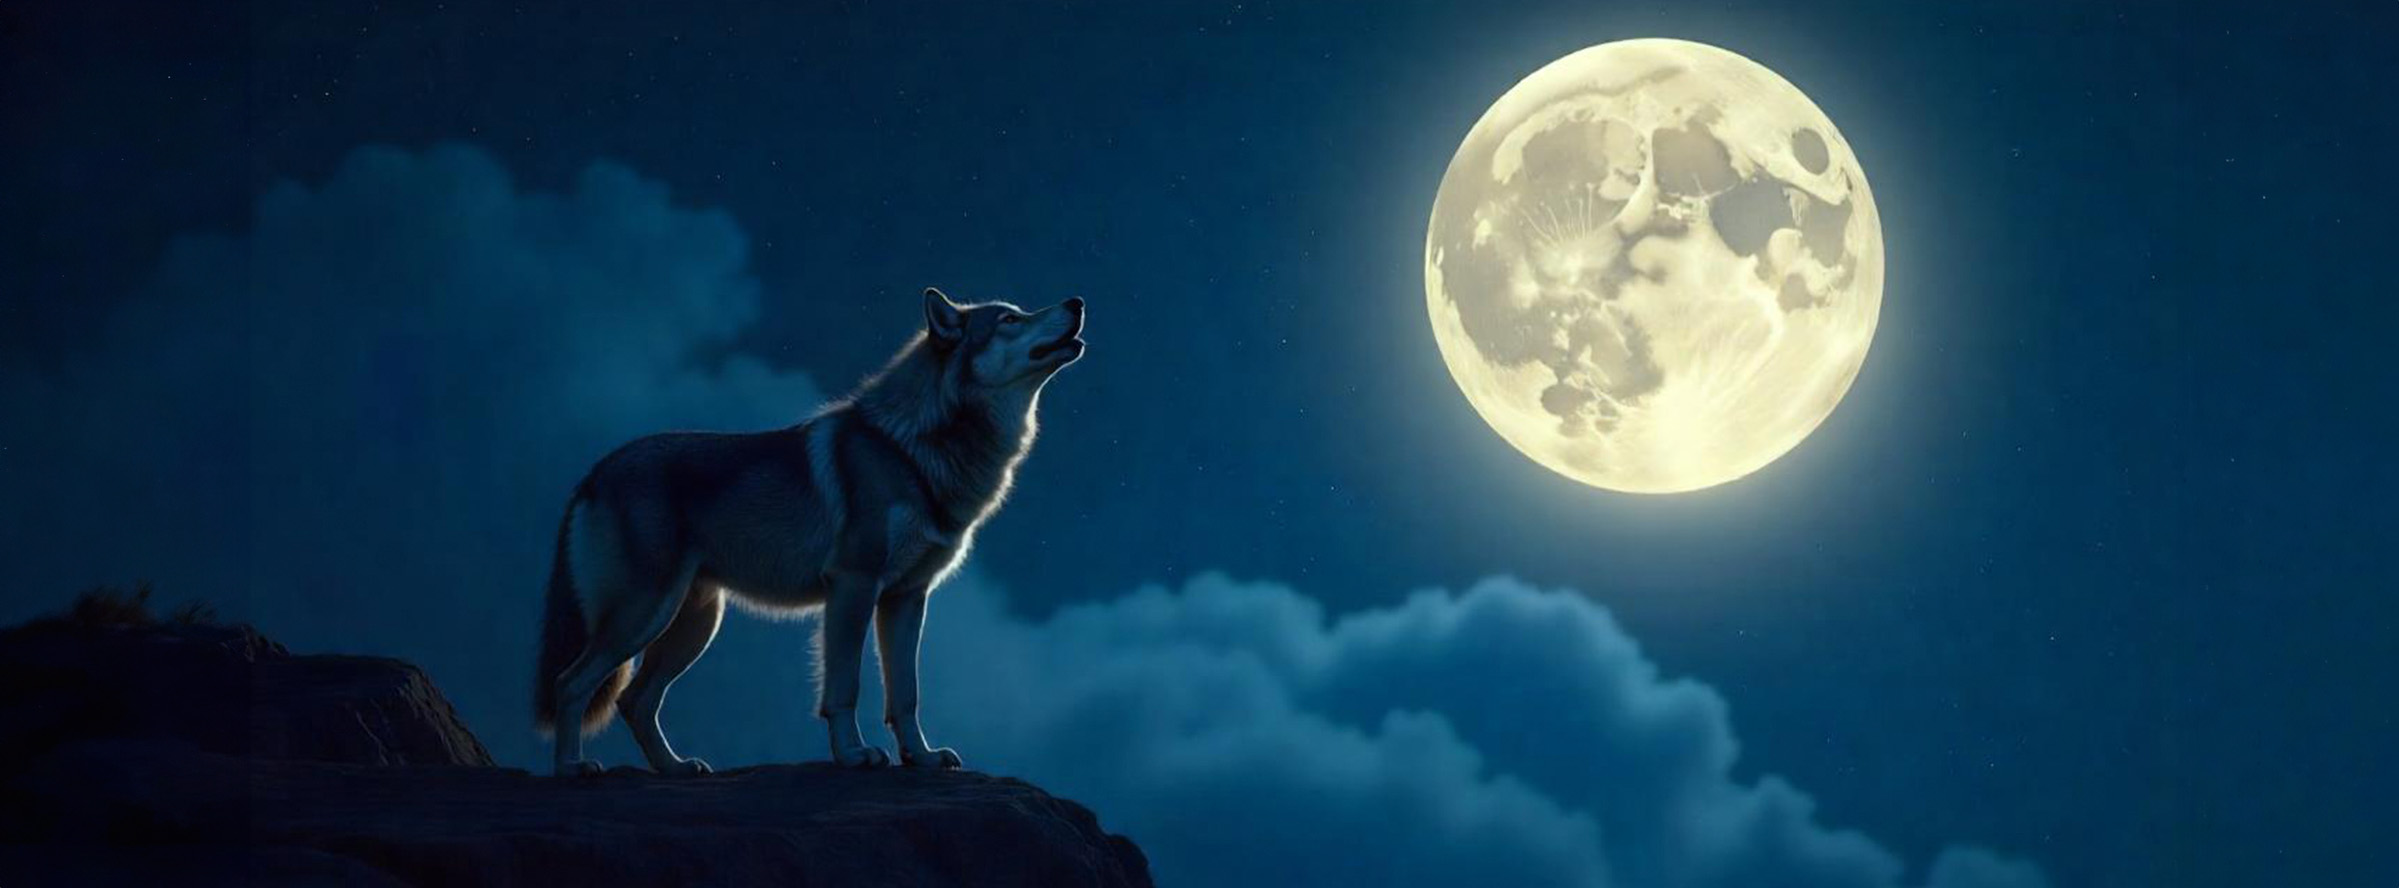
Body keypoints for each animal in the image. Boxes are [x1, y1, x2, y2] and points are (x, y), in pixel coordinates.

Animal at [533, 287, 1084, 776]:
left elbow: (906, 695)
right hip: (645, 615)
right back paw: (572, 768)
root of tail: (593, 472)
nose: (1077, 302)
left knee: (635, 700)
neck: (910, 448)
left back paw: (675, 768)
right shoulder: (853, 586)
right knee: (571, 683)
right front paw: (854, 756)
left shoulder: (907, 597)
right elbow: (845, 688)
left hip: (694, 624)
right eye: (1010, 318)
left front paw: (922, 758)